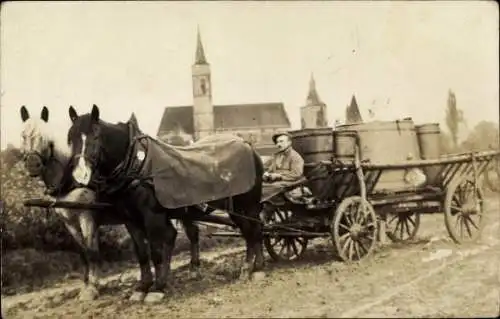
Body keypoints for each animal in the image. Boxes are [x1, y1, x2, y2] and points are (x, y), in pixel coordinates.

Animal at [17, 105, 202, 302]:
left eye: (45, 137)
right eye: (23, 135)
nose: (33, 165)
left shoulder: (87, 218)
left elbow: (92, 252)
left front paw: (93, 287)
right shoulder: (69, 222)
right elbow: (83, 252)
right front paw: (86, 283)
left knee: (190, 232)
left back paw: (194, 269)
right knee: (173, 234)